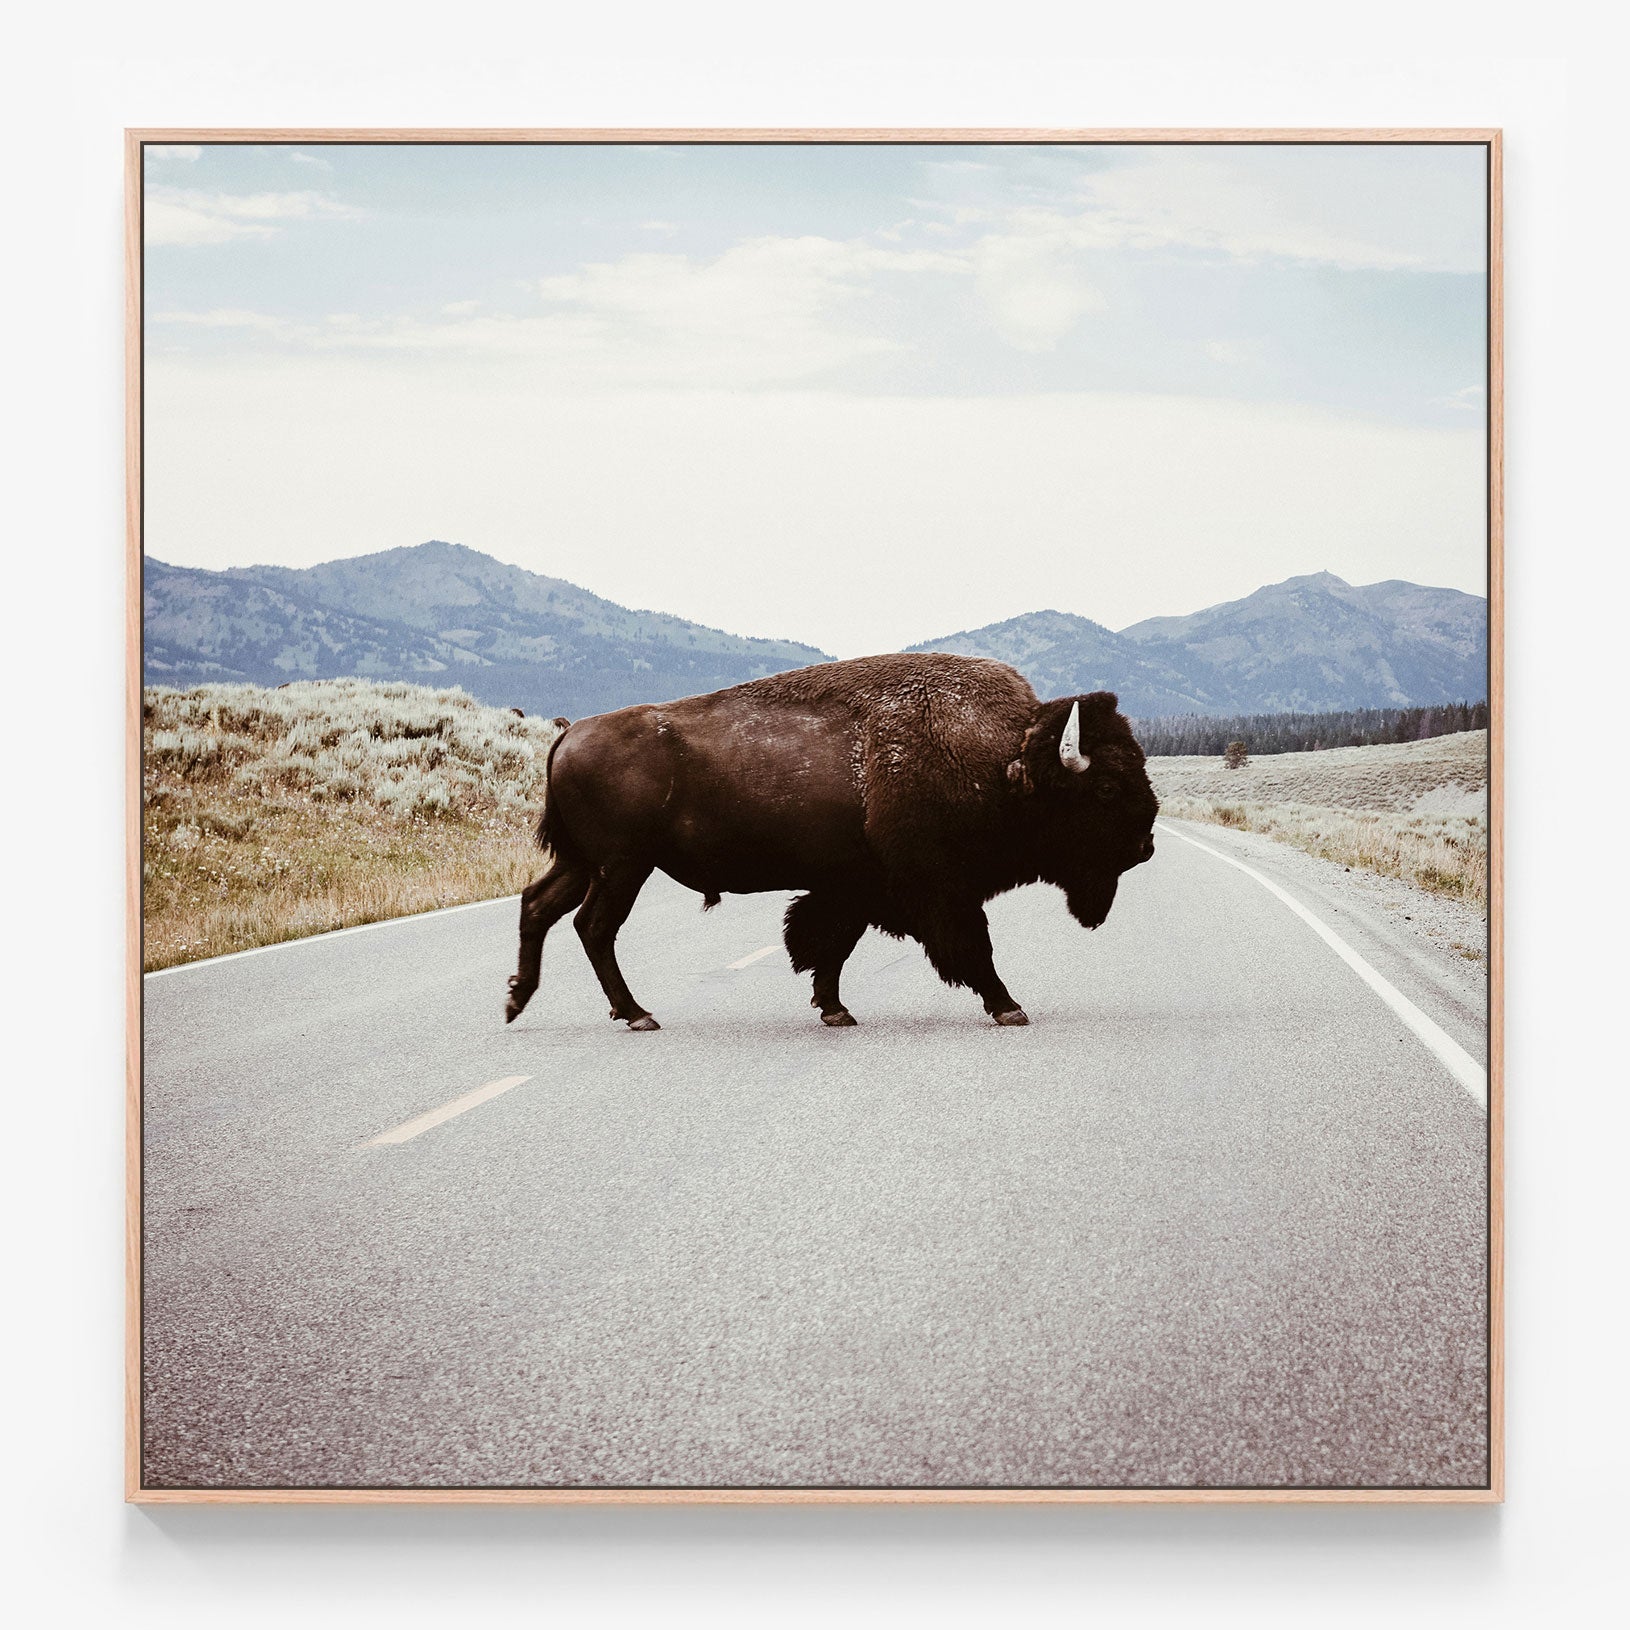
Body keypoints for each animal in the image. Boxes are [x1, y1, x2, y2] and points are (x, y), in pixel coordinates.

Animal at [505, 652, 1158, 1031]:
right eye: (1105, 787)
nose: (1146, 845)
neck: (1005, 761)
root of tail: (568, 735)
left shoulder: (856, 887)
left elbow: (829, 945)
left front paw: (835, 1010)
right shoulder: (938, 889)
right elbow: (972, 948)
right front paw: (1009, 1007)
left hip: (584, 862)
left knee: (539, 906)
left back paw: (520, 1000)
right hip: (623, 866)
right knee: (594, 926)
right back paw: (637, 1015)